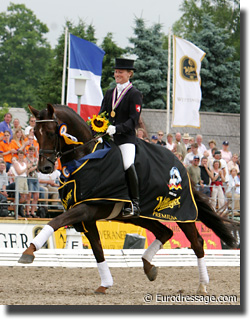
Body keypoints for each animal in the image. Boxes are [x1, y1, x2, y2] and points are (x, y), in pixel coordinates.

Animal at [18, 104, 236, 296]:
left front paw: (29, 251)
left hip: (182, 214)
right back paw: (149, 267)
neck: (84, 157)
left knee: (196, 242)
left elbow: (55, 222)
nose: (44, 167)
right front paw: (105, 284)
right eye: (35, 133)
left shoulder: (88, 208)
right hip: (140, 216)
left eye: (50, 132)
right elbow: (97, 249)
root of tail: (179, 163)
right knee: (164, 232)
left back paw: (202, 285)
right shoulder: (87, 218)